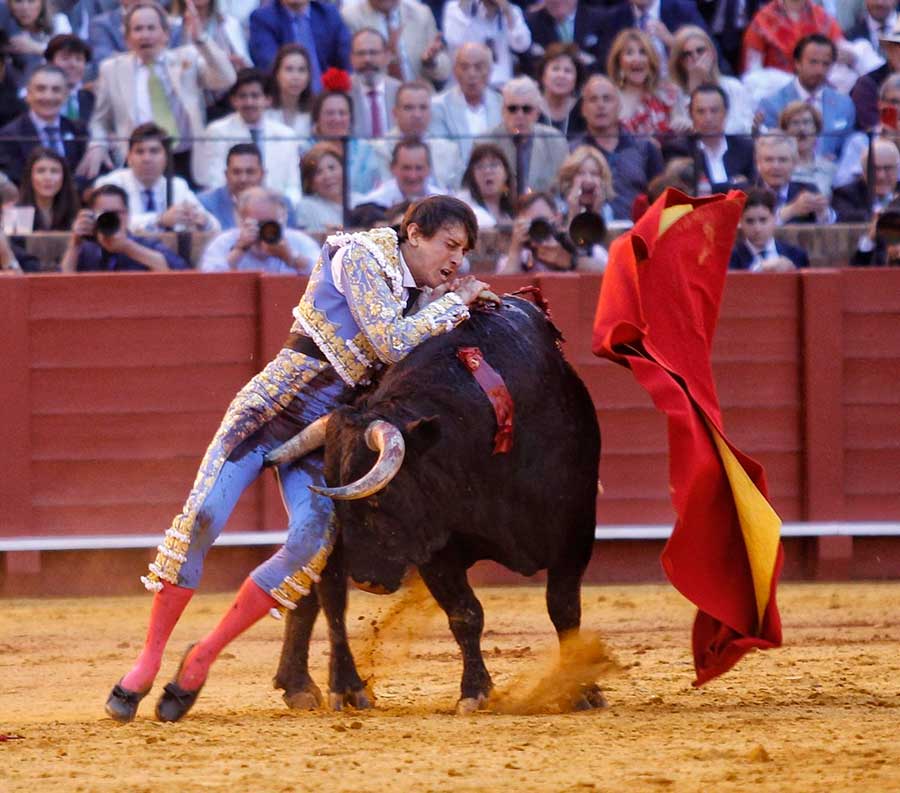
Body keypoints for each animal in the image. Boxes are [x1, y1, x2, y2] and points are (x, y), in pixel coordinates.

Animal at [268, 294, 603, 714]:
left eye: (381, 497)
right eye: (339, 505)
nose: (366, 581)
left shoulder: (575, 532)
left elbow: (564, 608)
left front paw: (581, 688)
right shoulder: (435, 546)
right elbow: (465, 614)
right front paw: (474, 691)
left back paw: (303, 685)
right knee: (329, 602)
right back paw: (341, 687)